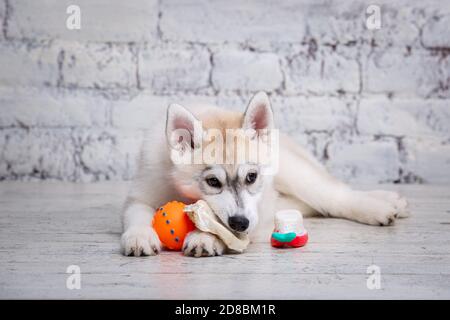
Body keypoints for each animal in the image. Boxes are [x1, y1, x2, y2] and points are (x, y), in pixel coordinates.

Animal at [121, 91, 410, 256]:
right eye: (213, 182)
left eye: (251, 177)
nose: (240, 223)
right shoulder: (142, 192)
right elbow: (137, 214)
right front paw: (138, 235)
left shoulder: (258, 212)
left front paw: (206, 236)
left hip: (295, 174)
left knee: (334, 195)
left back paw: (379, 205)